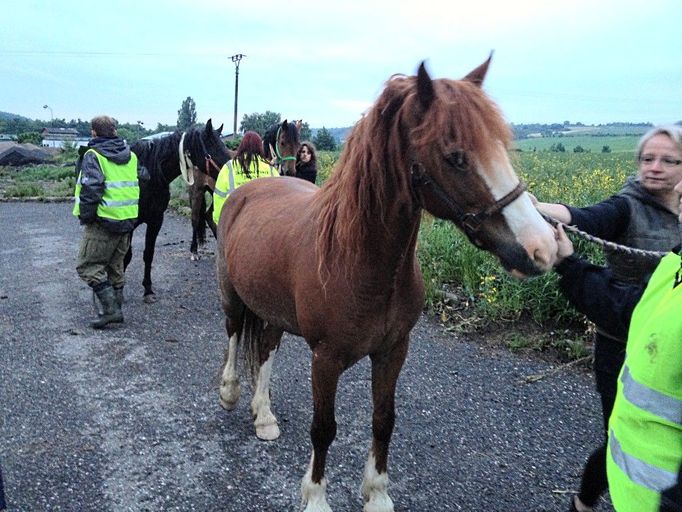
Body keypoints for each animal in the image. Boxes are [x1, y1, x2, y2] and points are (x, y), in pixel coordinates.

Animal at [214, 58, 556, 510]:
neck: (362, 263)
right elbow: (324, 428)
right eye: (455, 156)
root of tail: (253, 186)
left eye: (501, 145)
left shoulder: (393, 351)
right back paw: (231, 392)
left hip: (273, 308)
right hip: (233, 295)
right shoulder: (325, 359)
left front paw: (376, 493)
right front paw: (317, 498)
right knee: (235, 334)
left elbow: (383, 420)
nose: (542, 246)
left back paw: (265, 415)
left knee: (267, 348)